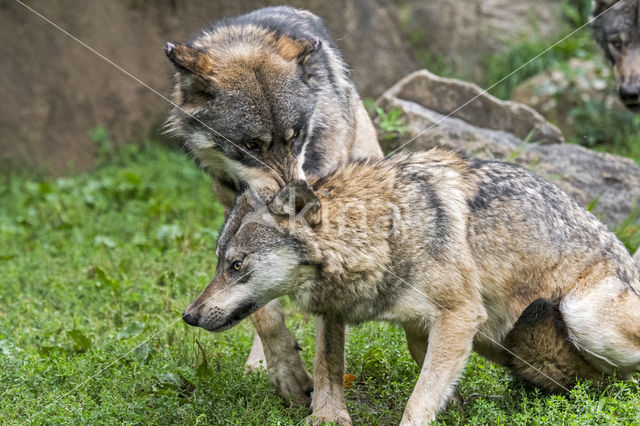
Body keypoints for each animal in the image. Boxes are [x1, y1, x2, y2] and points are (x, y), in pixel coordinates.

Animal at [165, 6, 382, 406]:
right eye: (252, 145)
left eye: (295, 136)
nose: (293, 194)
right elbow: (261, 310)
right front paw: (286, 373)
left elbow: (328, 335)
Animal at [181, 148, 640, 424]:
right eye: (219, 263)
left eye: (237, 264)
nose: (189, 316)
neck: (385, 231)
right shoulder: (377, 318)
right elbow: (332, 365)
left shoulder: (460, 316)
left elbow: (418, 401)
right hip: (494, 339)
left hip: (581, 317)